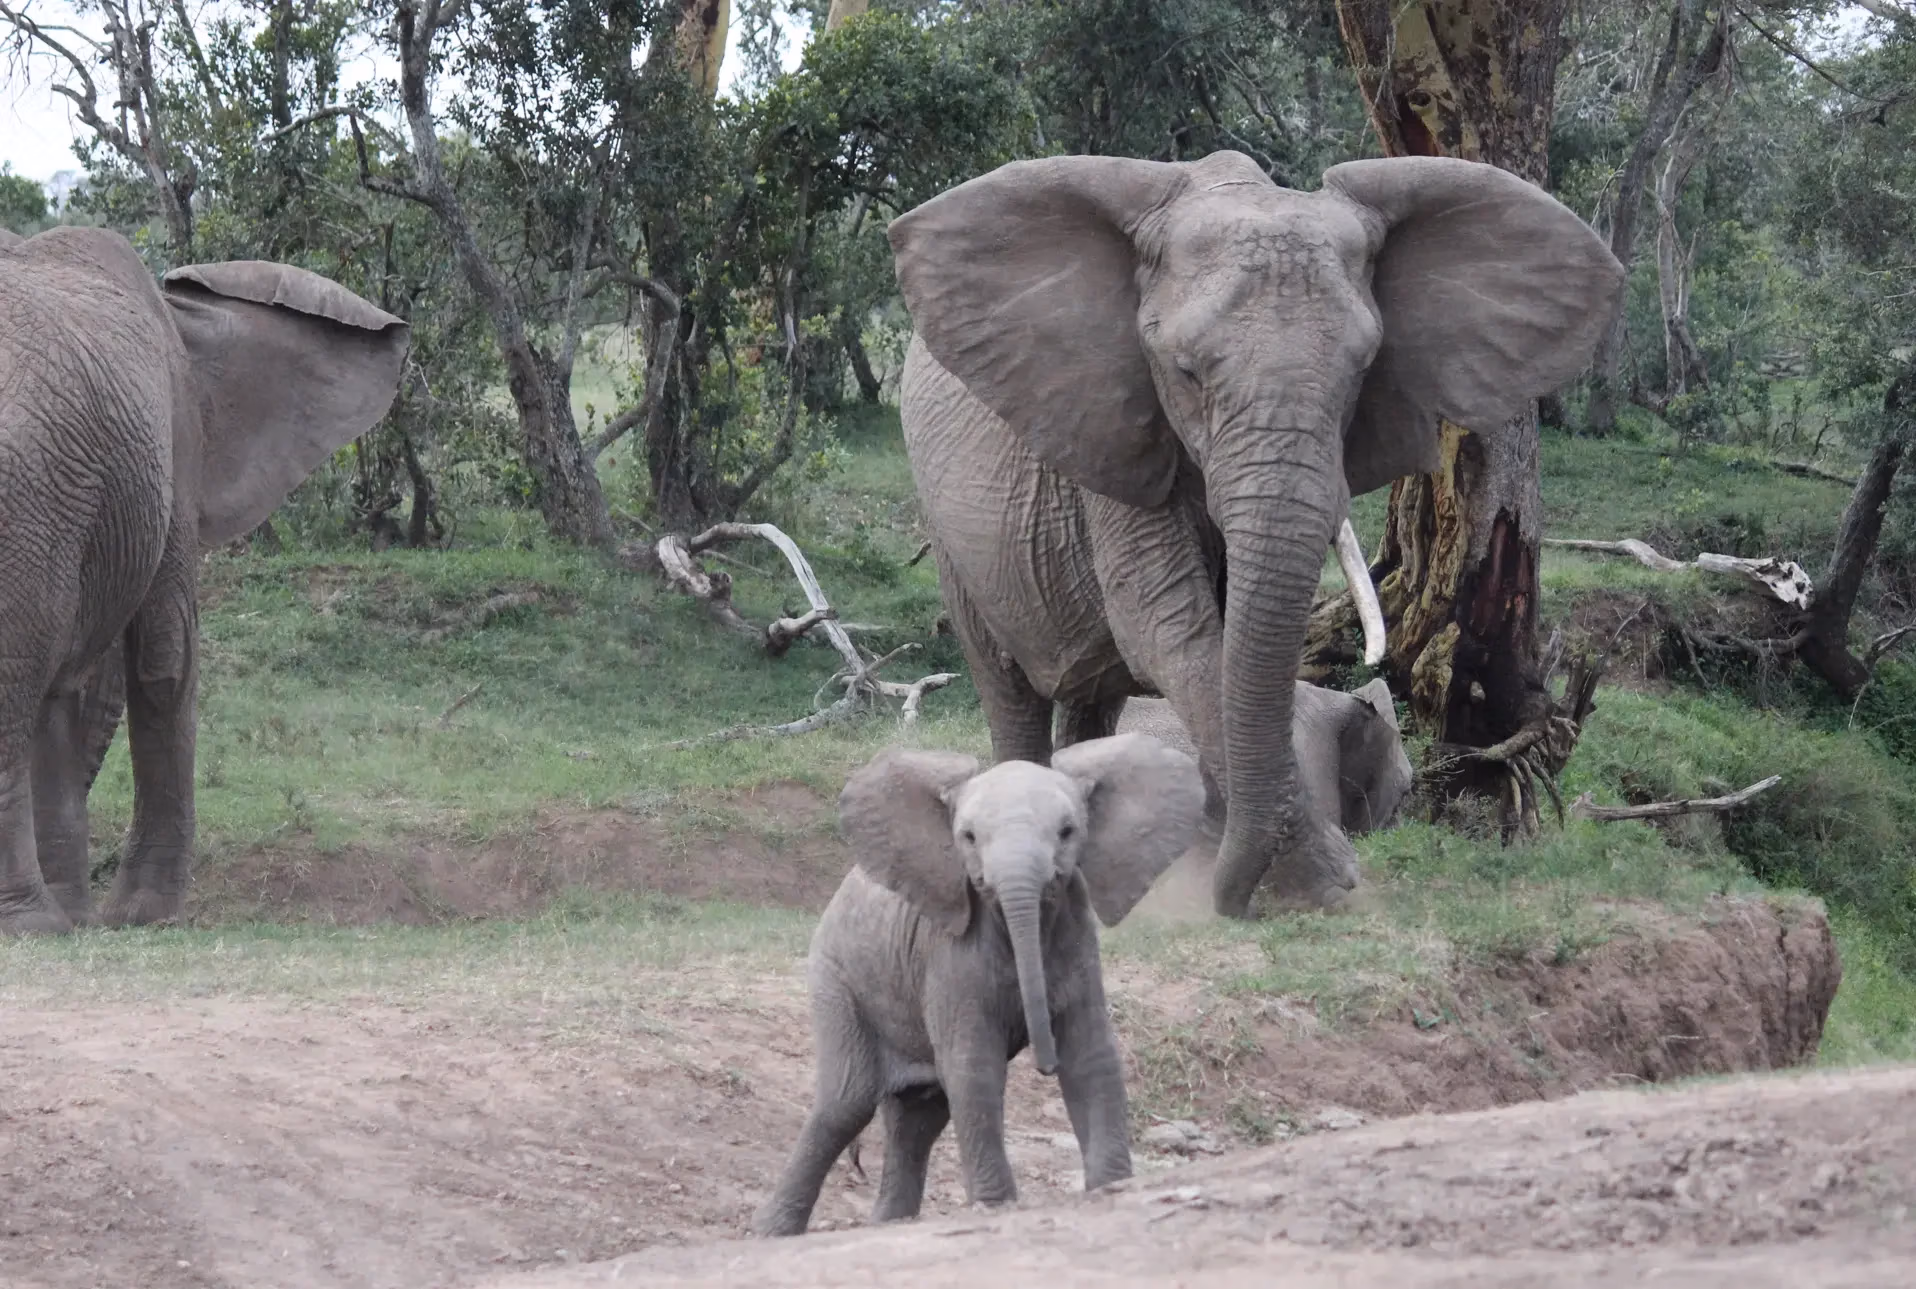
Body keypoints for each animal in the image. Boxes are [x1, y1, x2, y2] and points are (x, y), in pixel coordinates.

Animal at [0, 225, 408, 935]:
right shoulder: (176, 439)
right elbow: (165, 658)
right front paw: (141, 916)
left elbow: (64, 688)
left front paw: (92, 917)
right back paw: (30, 923)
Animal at [753, 732, 1205, 1237]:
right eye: (967, 838)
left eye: (1068, 832)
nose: (1044, 1065)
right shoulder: (948, 955)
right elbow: (975, 1066)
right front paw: (996, 1206)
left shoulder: (1077, 935)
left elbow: (1091, 1058)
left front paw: (1113, 1188)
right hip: (836, 977)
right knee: (845, 1104)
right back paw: (769, 1233)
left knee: (919, 1116)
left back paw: (889, 1223)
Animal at [887, 150, 1625, 917]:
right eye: (1184, 372)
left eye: (1364, 371)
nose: (1225, 892)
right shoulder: (1117, 431)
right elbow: (1172, 634)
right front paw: (1321, 883)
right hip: (953, 532)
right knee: (1008, 686)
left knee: (1094, 703)